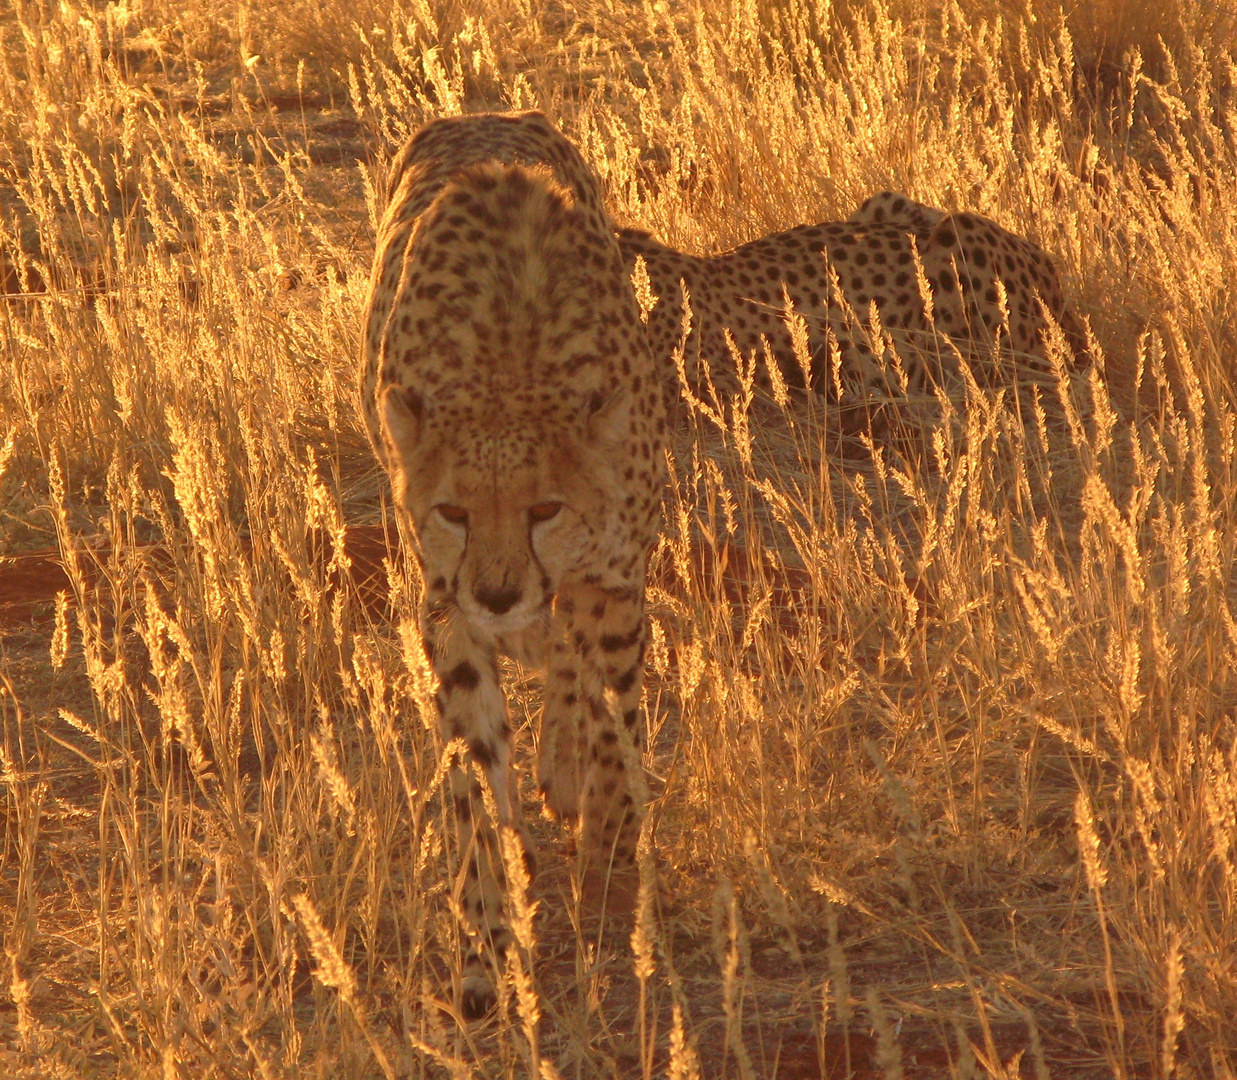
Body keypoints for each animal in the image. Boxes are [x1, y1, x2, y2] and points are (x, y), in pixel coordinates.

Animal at [361, 113, 667, 1014]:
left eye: (543, 509)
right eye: (454, 512)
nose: (498, 594)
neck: (507, 369)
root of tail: (480, 116)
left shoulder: (610, 582)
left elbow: (612, 727)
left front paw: (606, 858)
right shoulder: (445, 605)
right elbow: (470, 770)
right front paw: (485, 941)